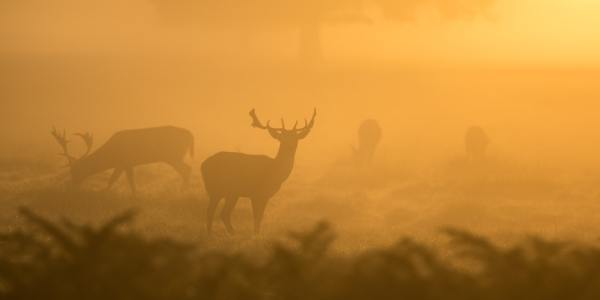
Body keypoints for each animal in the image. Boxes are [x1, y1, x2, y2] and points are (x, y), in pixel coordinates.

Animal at [51, 125, 193, 196]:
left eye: (76, 170)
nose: (72, 185)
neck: (111, 156)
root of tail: (190, 135)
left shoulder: (125, 161)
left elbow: (115, 179)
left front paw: (103, 193)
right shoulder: (124, 164)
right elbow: (125, 180)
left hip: (174, 155)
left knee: (186, 169)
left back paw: (183, 191)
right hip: (174, 156)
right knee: (187, 169)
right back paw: (184, 190)